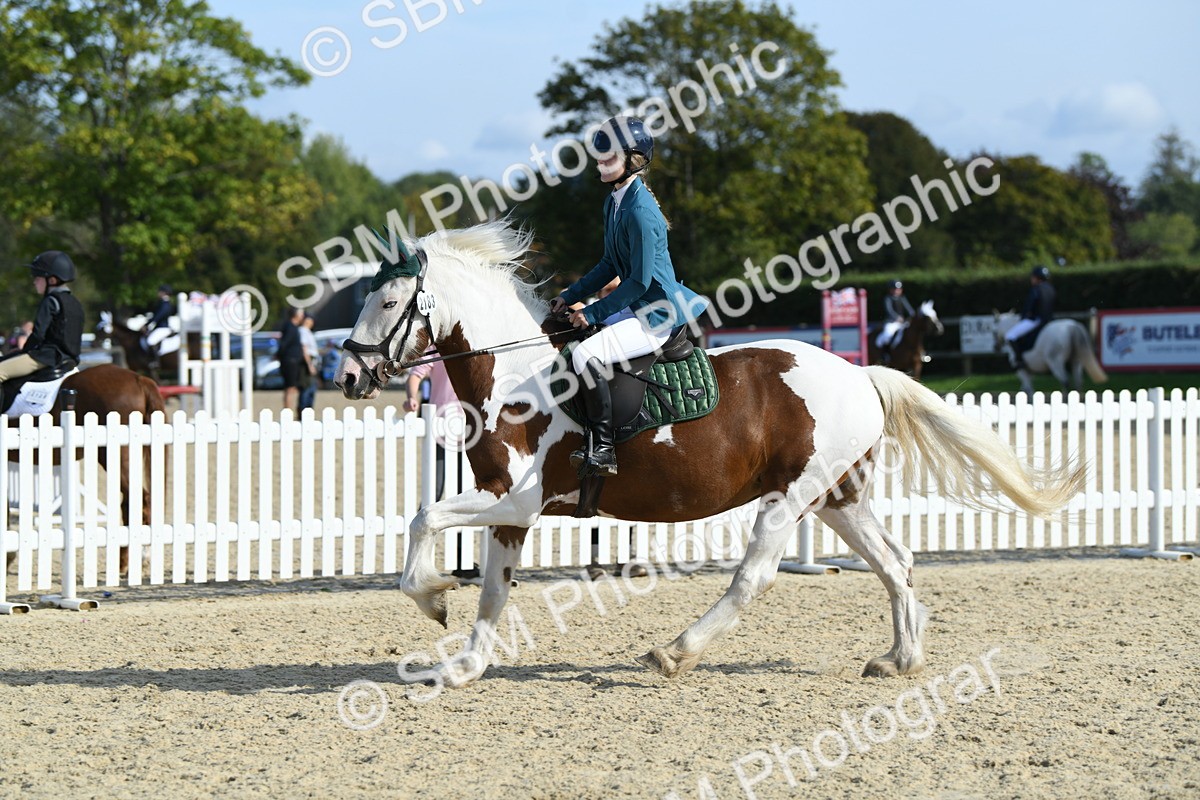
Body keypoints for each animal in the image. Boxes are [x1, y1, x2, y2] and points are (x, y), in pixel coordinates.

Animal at [334, 221, 1084, 687]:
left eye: (391, 301)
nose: (347, 376)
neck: (518, 380)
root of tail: (859, 373)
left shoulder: (512, 500)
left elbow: (423, 521)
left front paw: (434, 598)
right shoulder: (510, 513)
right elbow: (491, 590)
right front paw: (462, 665)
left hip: (791, 500)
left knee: (754, 577)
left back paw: (676, 652)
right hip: (837, 498)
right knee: (894, 563)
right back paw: (900, 659)